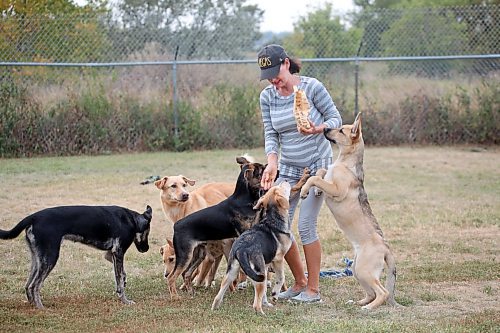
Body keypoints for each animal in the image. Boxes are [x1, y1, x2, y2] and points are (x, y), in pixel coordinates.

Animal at [0, 204, 152, 308]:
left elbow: (122, 276)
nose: (146, 249)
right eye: (148, 232)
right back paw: (40, 308)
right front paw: (125, 300)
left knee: (28, 286)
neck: (131, 219)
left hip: (38, 260)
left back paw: (33, 305)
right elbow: (119, 279)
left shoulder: (110, 255)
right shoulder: (118, 252)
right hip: (50, 258)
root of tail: (33, 217)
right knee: (34, 286)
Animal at [167, 156, 270, 298]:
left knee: (186, 273)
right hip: (185, 255)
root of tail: (176, 225)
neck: (244, 199)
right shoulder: (244, 231)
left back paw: (191, 293)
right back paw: (175, 297)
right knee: (171, 277)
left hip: (199, 254)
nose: (269, 166)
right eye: (260, 170)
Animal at [211, 182, 292, 314]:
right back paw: (262, 313)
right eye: (280, 188)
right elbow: (281, 278)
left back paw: (215, 308)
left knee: (219, 294)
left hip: (233, 272)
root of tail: (241, 249)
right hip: (258, 275)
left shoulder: (266, 265)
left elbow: (265, 292)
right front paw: (275, 295)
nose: (285, 181)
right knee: (255, 305)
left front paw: (267, 302)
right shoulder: (278, 259)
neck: (273, 219)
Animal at [298, 113, 400, 308]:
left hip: (364, 269)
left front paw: (305, 190)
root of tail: (386, 249)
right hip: (356, 269)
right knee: (371, 292)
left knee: (382, 292)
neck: (345, 162)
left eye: (341, 131)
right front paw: (316, 190)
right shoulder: (329, 177)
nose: (324, 128)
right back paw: (358, 302)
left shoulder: (337, 190)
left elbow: (316, 178)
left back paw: (368, 308)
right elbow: (321, 171)